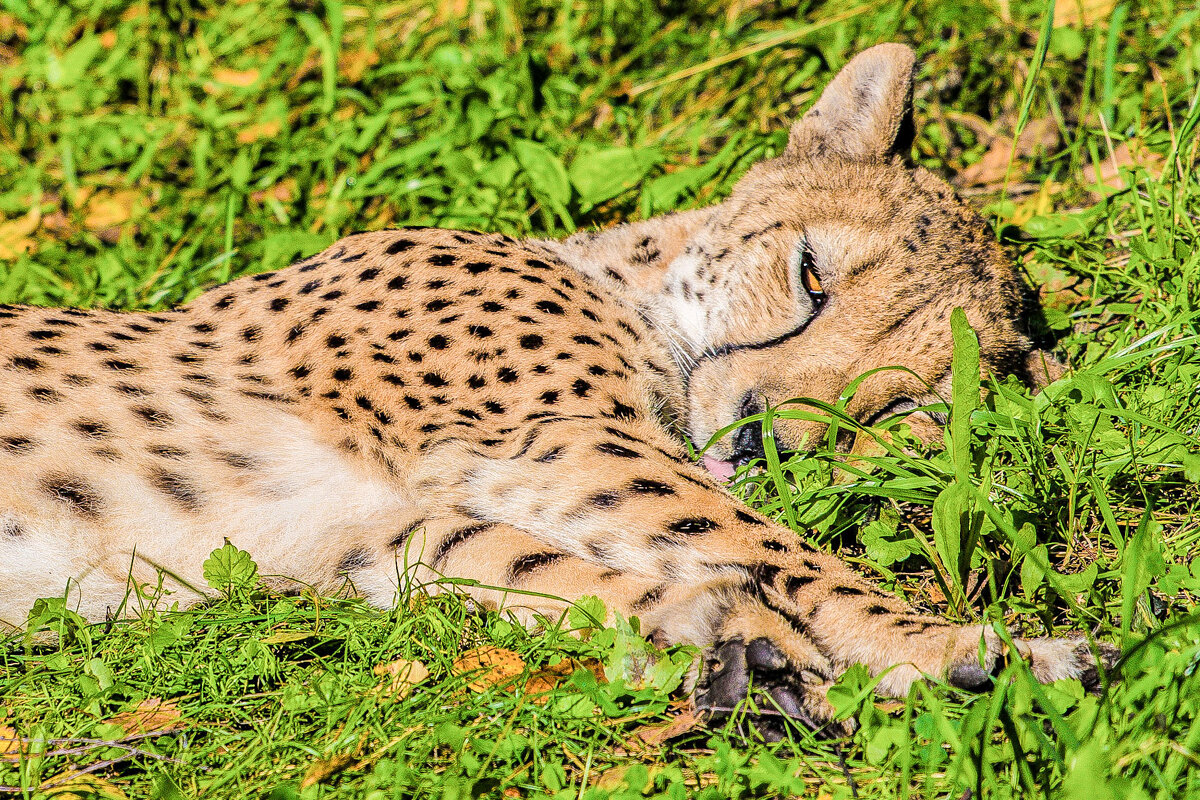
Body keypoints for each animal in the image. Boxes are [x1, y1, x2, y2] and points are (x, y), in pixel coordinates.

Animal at [0, 45, 1108, 734]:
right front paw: (969, 646)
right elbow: (780, 550)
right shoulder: (555, 439)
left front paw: (729, 639)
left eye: (900, 408)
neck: (631, 287)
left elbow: (526, 564)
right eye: (810, 276)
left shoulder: (370, 532)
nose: (763, 439)